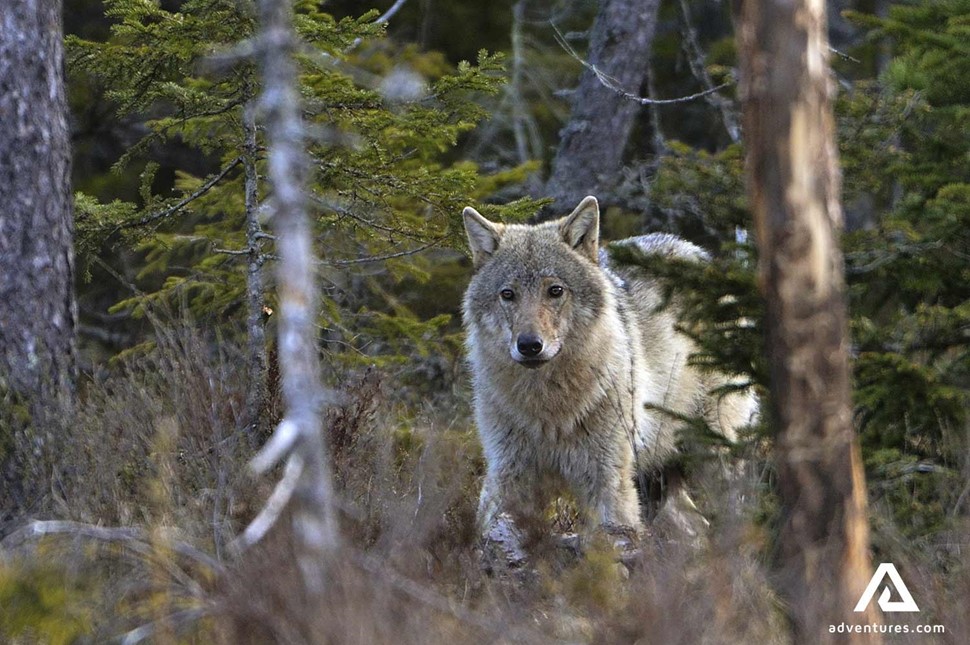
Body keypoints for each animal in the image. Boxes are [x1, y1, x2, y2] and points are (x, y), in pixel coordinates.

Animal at [462, 194, 756, 536]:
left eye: (555, 290)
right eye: (508, 294)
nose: (530, 345)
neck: (548, 407)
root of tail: (703, 256)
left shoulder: (607, 478)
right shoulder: (507, 472)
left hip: (714, 456)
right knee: (695, 525)